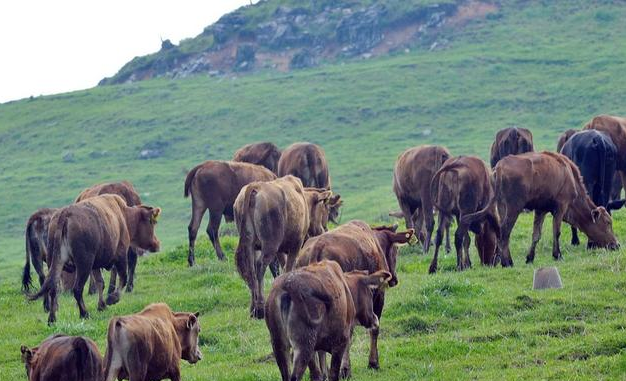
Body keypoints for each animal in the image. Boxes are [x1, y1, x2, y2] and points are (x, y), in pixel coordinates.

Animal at [29, 194, 161, 322]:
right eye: (151, 222)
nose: (157, 244)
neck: (123, 215)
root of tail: (65, 214)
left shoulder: (95, 265)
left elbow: (100, 283)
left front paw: (101, 305)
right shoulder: (121, 255)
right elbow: (123, 278)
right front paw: (112, 299)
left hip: (55, 262)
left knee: (53, 288)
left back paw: (52, 318)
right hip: (84, 264)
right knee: (77, 289)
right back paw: (84, 313)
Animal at [233, 175, 332, 318]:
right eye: (325, 209)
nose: (325, 229)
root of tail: (255, 186)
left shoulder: (280, 250)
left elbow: (282, 267)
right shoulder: (296, 244)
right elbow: (289, 267)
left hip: (250, 245)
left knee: (251, 271)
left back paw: (253, 309)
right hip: (270, 244)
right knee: (260, 267)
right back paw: (260, 308)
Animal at [294, 220, 412, 372]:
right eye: (396, 250)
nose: (394, 279)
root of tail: (317, 247)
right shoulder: (378, 295)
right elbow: (374, 330)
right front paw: (373, 362)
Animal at [460, 150, 616, 266]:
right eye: (607, 223)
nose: (617, 244)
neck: (569, 176)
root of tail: (499, 167)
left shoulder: (541, 210)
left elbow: (536, 235)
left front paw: (530, 257)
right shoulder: (561, 207)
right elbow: (556, 232)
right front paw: (557, 255)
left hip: (502, 206)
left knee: (501, 232)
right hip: (513, 208)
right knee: (505, 232)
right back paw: (507, 262)